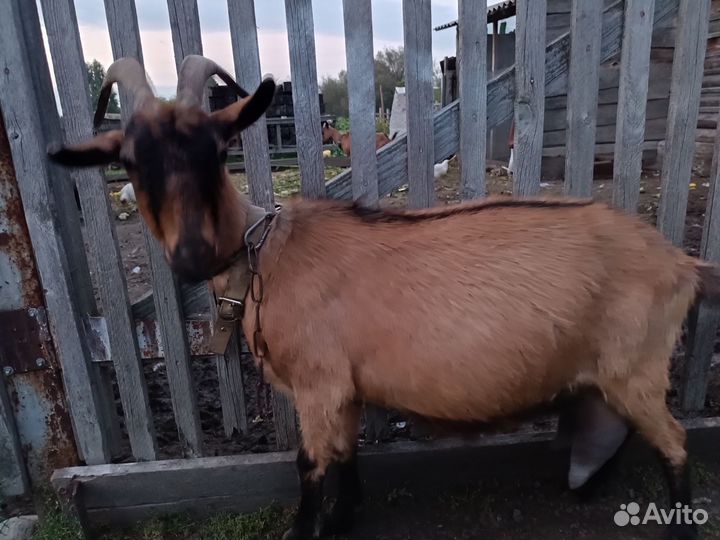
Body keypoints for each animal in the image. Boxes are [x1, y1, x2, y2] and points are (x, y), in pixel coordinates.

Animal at [49, 55, 718, 540]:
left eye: (217, 150)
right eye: (131, 162)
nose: (191, 254)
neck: (268, 252)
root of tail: (682, 261)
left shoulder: (318, 385)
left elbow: (310, 466)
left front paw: (306, 533)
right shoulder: (344, 389)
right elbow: (346, 457)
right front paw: (345, 521)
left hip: (638, 365)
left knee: (676, 444)